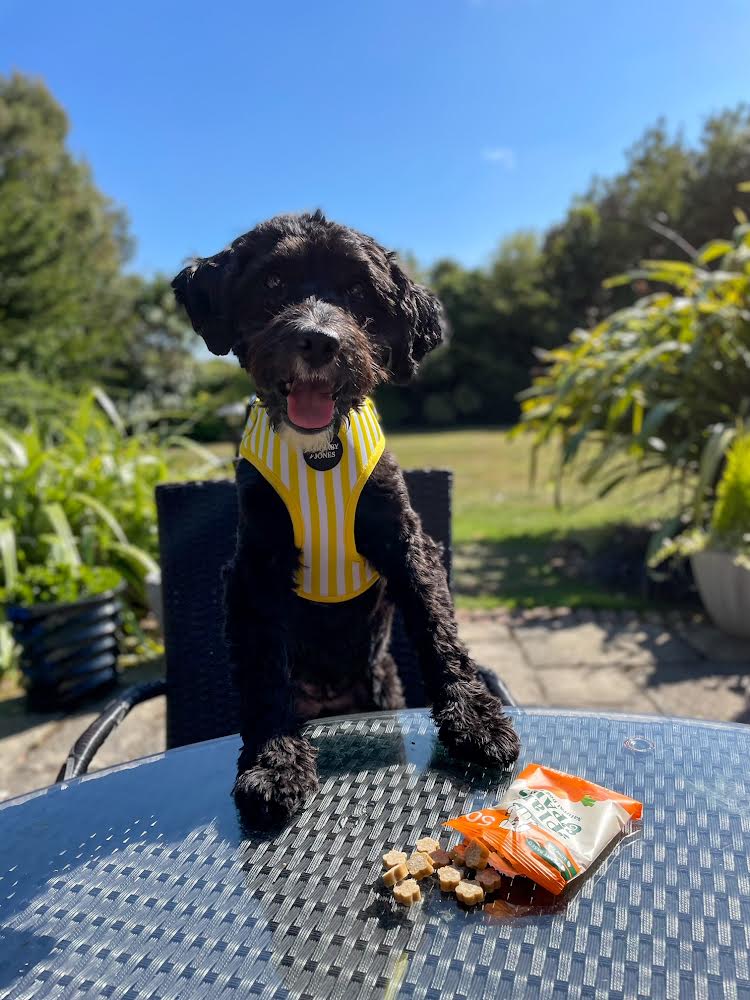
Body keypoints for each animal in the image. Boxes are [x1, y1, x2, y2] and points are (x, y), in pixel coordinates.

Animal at [173, 213, 520, 828]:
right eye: (272, 284)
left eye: (359, 292)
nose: (318, 340)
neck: (319, 455)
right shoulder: (255, 567)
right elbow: (263, 670)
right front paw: (273, 763)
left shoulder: (407, 543)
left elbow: (439, 632)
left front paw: (475, 722)